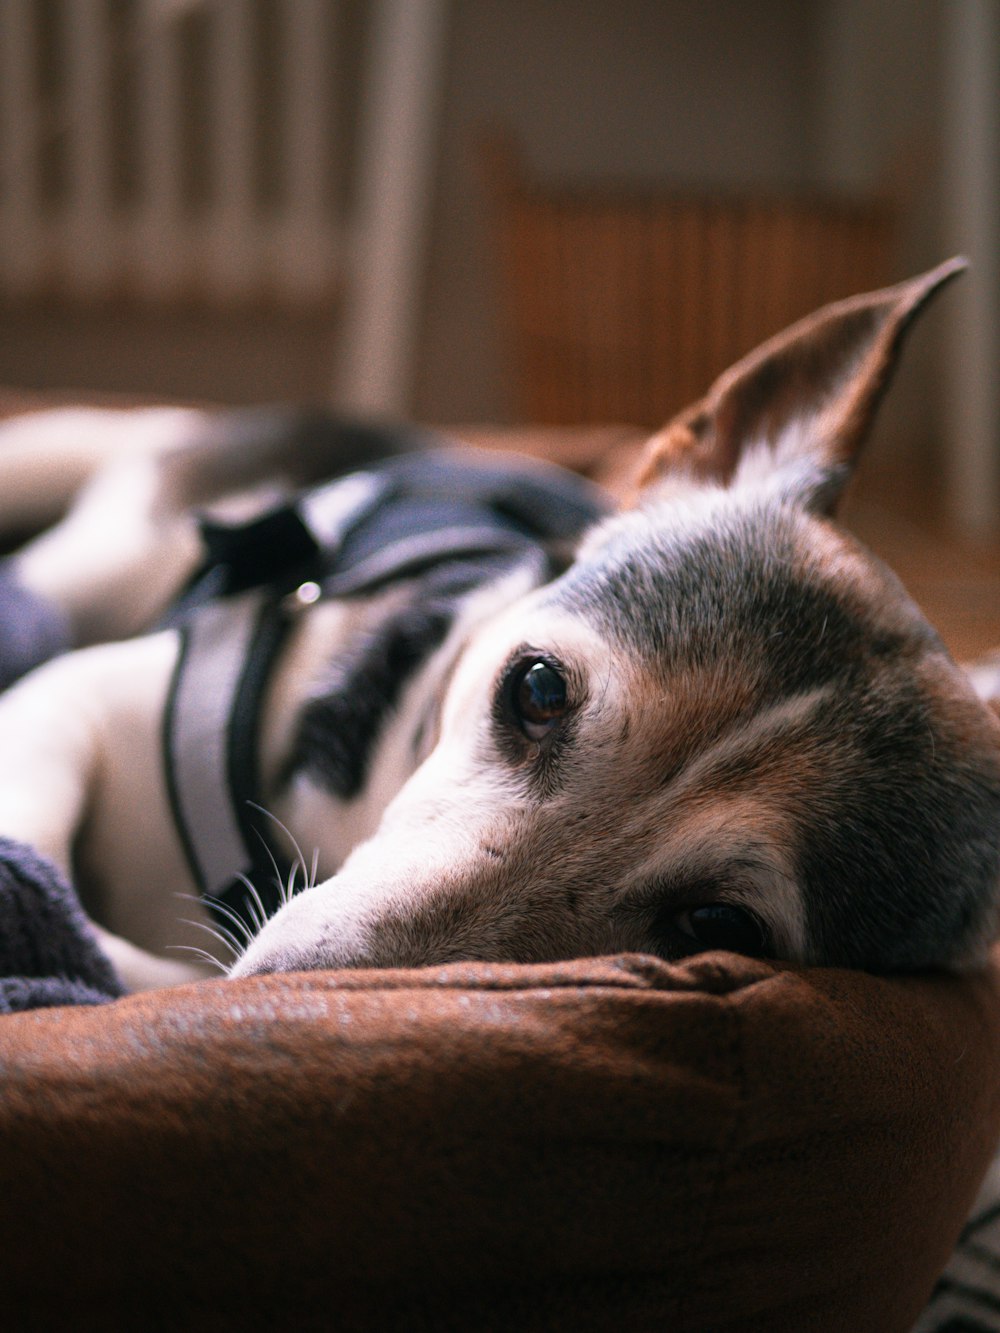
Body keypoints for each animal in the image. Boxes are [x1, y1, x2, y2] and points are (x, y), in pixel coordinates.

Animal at [0, 259, 997, 991]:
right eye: (538, 688)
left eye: (717, 924)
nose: (283, 990)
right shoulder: (88, 698)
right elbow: (40, 827)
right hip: (107, 550)